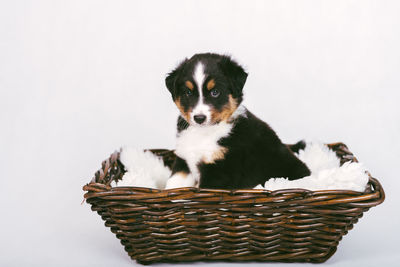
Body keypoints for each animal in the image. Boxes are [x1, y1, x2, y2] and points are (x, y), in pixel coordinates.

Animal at [164, 52, 310, 191]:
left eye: (215, 92)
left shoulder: (220, 171)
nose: (199, 118)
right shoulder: (184, 160)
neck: (205, 133)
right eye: (188, 92)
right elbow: (173, 185)